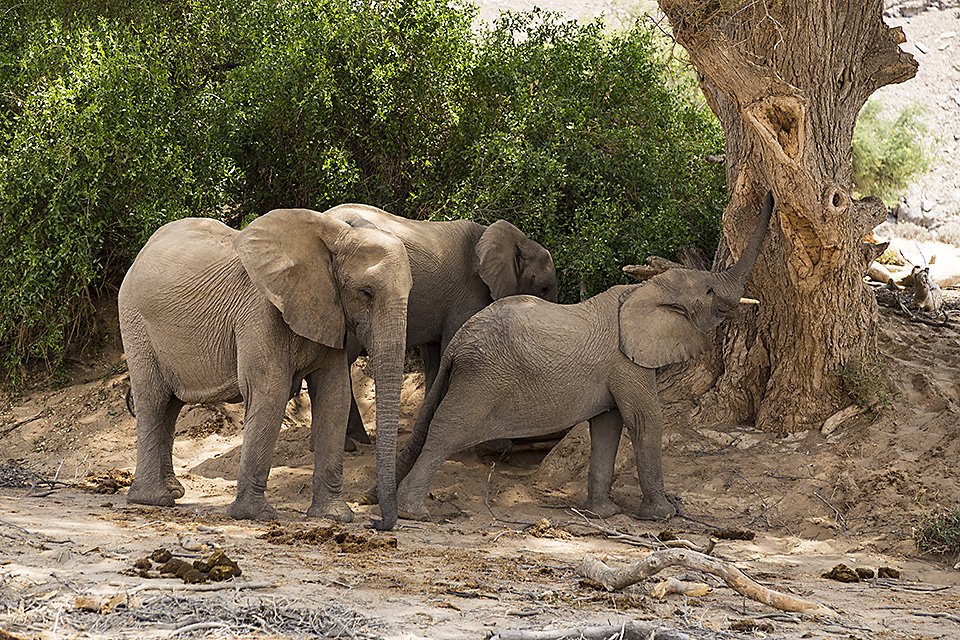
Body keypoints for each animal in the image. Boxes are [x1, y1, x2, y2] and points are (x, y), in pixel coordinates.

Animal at [118, 208, 412, 529]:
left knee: (172, 405)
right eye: (366, 292)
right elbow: (271, 392)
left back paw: (173, 491)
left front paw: (334, 516)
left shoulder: (328, 312)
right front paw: (254, 515)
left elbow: (335, 397)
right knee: (154, 397)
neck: (333, 236)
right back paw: (154, 499)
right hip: (135, 321)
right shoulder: (260, 311)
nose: (374, 522)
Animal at [392, 191, 774, 522]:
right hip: (482, 377)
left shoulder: (614, 369)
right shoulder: (626, 361)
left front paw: (603, 513)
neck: (643, 290)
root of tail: (458, 344)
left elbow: (608, 426)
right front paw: (662, 515)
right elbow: (646, 420)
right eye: (708, 291)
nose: (770, 194)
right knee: (447, 430)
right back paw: (413, 512)